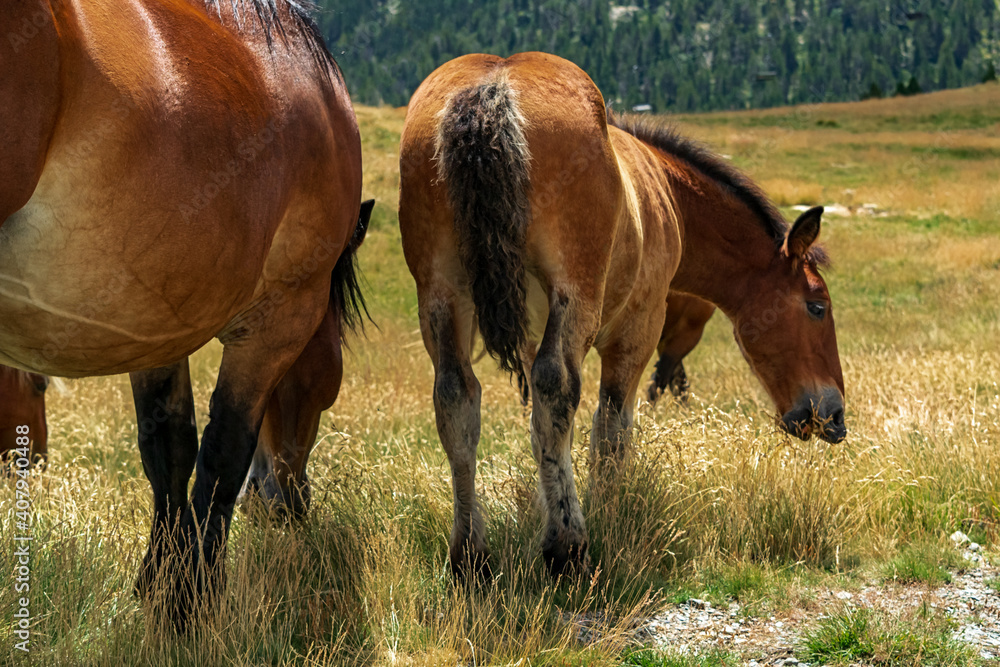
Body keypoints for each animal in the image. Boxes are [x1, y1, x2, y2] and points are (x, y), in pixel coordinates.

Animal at [0, 0, 368, 628]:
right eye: (325, 386)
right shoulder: (279, 318)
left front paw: (159, 583)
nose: (286, 505)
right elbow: (223, 452)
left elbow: (167, 451)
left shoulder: (151, 323)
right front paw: (189, 603)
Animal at [398, 53, 844, 580]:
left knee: (456, 398)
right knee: (555, 387)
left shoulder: (530, 336)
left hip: (441, 295)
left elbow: (552, 437)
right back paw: (567, 546)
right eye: (817, 306)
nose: (833, 416)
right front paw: (608, 512)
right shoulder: (638, 329)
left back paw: (470, 552)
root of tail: (493, 89)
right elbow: (612, 429)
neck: (665, 190)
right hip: (574, 296)